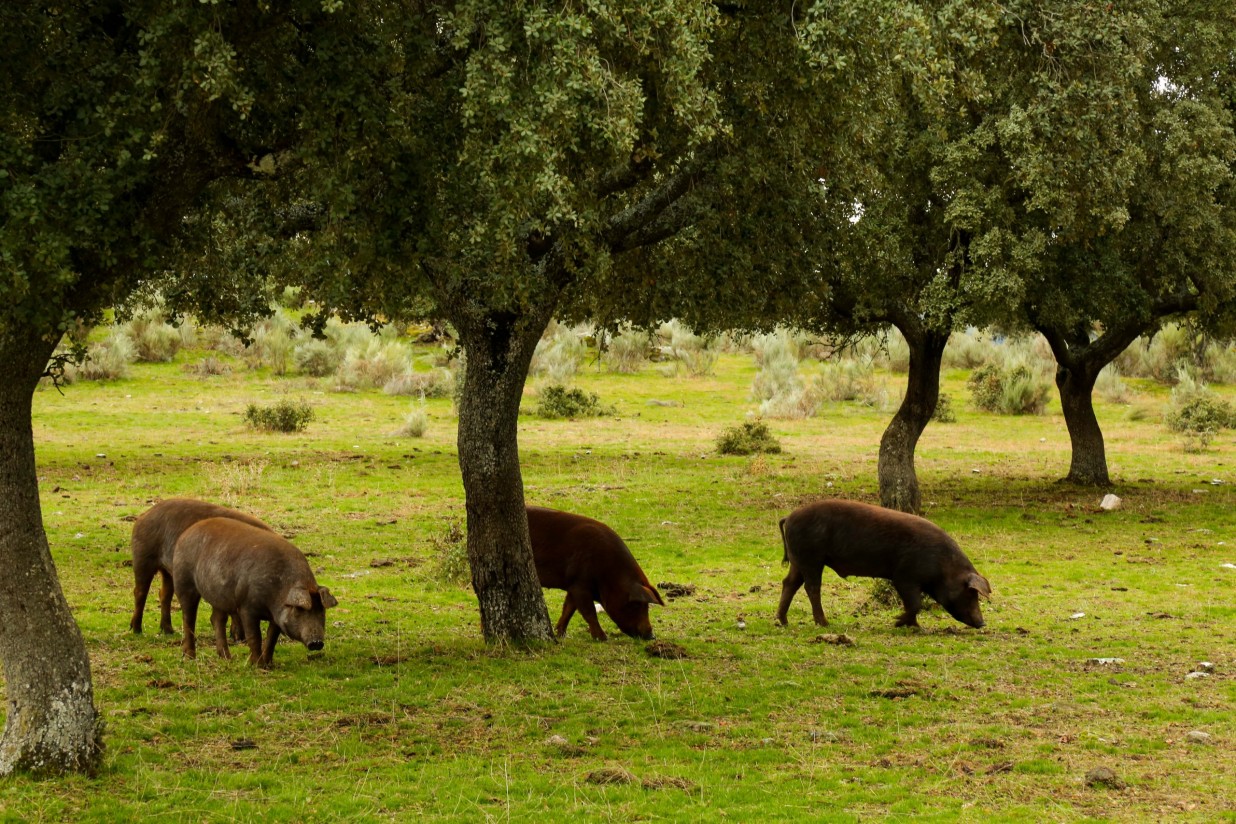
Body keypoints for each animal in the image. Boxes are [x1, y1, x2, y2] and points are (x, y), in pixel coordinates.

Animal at [130, 496, 273, 637]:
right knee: (140, 592)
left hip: (168, 571)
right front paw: (238, 636)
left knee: (164, 594)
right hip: (143, 558)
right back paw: (136, 630)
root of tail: (143, 516)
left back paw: (169, 630)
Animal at [171, 518, 338, 667]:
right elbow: (255, 636)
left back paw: (226, 658)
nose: (316, 642)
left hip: (219, 596)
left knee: (217, 619)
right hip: (183, 580)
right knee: (188, 618)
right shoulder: (246, 607)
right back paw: (190, 657)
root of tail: (186, 532)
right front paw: (257, 665)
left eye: (321, 611)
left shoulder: (276, 617)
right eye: (298, 610)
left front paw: (268, 664)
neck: (278, 590)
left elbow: (271, 638)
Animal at [529, 506, 667, 642]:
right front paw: (603, 638)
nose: (651, 636)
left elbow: (568, 609)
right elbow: (589, 611)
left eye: (646, 605)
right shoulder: (580, 584)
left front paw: (560, 635)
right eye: (636, 604)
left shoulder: (572, 585)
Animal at [776, 499, 988, 627]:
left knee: (789, 583)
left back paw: (783, 621)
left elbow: (915, 604)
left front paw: (915, 626)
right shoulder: (903, 576)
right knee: (811, 587)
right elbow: (915, 603)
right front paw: (897, 622)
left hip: (798, 560)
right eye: (971, 593)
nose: (982, 623)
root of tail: (790, 516)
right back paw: (824, 623)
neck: (944, 567)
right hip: (811, 557)